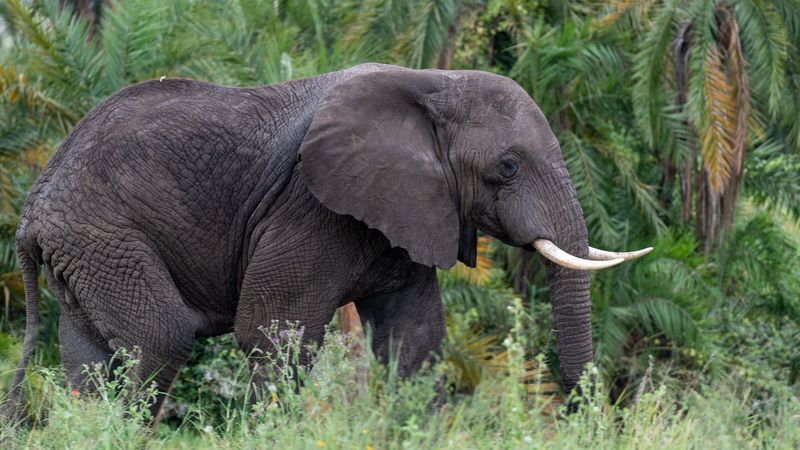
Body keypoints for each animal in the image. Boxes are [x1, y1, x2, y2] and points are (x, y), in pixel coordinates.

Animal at [6, 63, 650, 421]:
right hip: (103, 234)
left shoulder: (408, 211)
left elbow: (415, 338)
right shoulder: (309, 208)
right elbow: (272, 329)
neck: (431, 83)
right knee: (158, 337)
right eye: (508, 168)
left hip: (85, 249)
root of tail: (30, 214)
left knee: (90, 358)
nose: (580, 416)